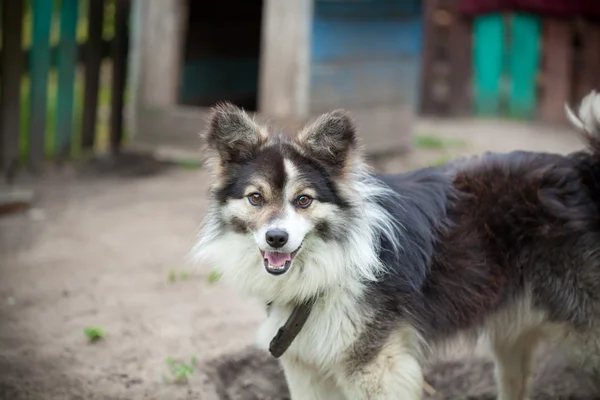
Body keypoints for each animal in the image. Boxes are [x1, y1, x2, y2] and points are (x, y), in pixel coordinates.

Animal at [195, 90, 600, 400]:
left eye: (304, 200)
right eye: (256, 198)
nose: (276, 237)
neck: (329, 266)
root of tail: (583, 169)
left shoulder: (377, 368)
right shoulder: (306, 368)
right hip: (511, 334)